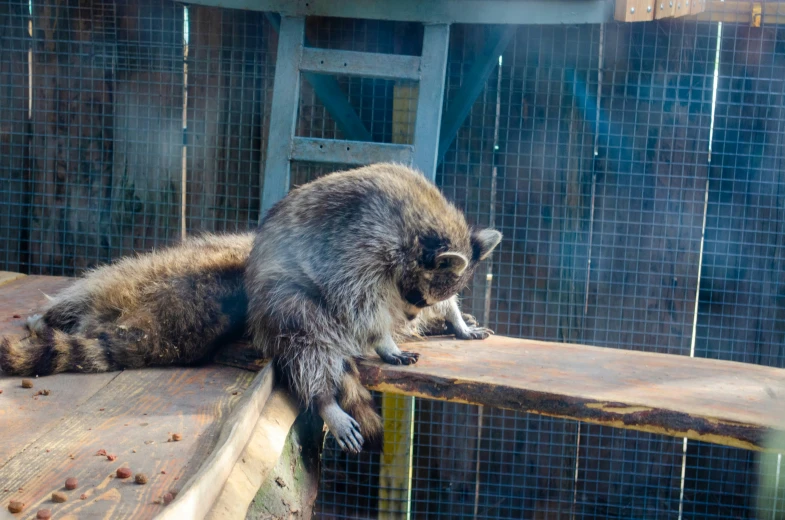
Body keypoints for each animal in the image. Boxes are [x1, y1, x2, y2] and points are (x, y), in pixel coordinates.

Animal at [247, 161, 502, 450]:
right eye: (416, 296)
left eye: (423, 300)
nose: (411, 317)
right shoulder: (358, 241)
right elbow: (355, 297)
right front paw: (383, 339)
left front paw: (454, 318)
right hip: (278, 297)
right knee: (306, 335)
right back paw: (324, 398)